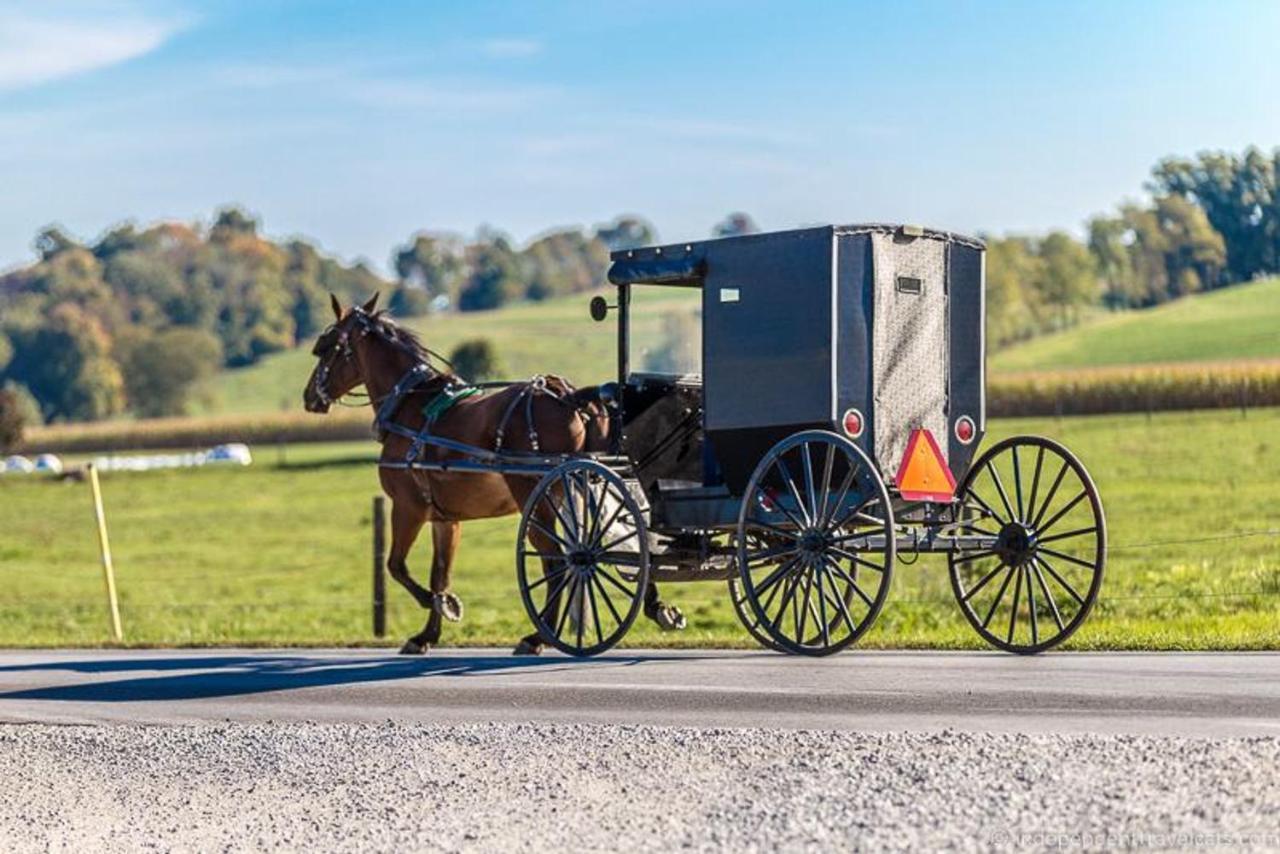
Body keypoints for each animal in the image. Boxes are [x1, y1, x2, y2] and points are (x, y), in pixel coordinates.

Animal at [304, 294, 686, 655]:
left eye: (323, 347)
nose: (309, 397)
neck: (410, 407)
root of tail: (570, 397)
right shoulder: (445, 518)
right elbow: (440, 573)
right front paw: (428, 633)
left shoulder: (408, 507)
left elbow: (396, 566)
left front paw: (440, 605)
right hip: (588, 482)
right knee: (624, 540)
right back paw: (655, 607)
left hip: (538, 495)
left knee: (557, 560)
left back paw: (538, 636)